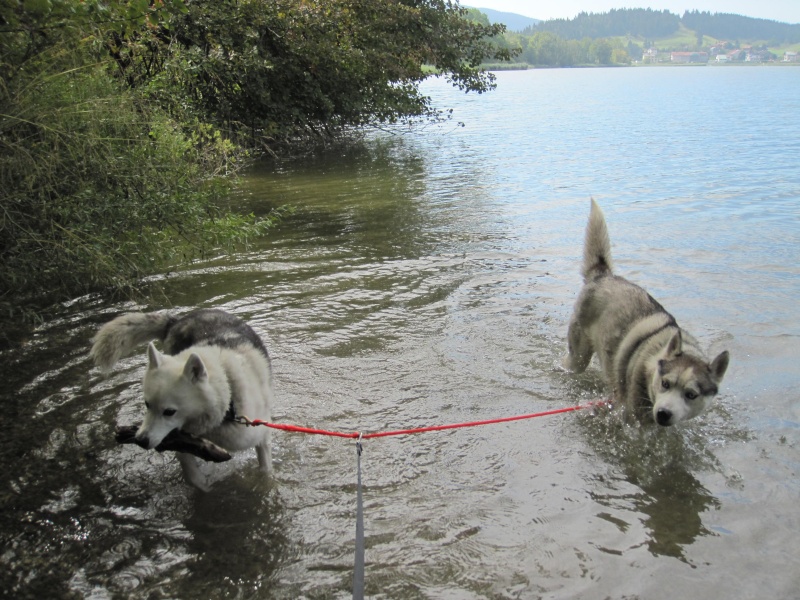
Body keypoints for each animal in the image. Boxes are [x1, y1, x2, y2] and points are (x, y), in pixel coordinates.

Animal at [89, 310, 274, 492]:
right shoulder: (179, 437)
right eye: (147, 405)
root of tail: (177, 319)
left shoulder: (261, 433)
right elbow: (193, 474)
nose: (140, 440)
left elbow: (265, 470)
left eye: (169, 412)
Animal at [564, 202, 732, 426]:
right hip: (578, 357)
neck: (651, 363)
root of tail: (602, 275)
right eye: (665, 384)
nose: (663, 413)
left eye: (691, 394)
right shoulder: (632, 416)